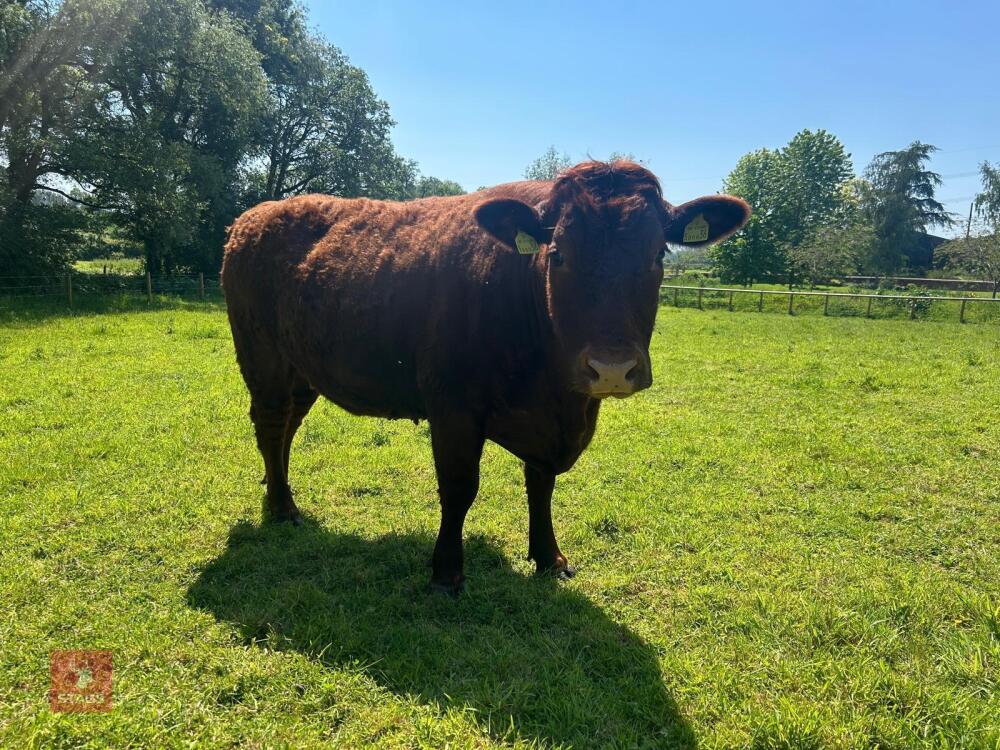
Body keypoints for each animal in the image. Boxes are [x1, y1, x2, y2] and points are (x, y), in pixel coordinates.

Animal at [221, 161, 749, 594]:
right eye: (557, 254)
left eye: (658, 254)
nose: (612, 368)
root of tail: (253, 216)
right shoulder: (453, 407)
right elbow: (459, 488)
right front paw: (446, 572)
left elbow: (541, 485)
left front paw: (550, 558)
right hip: (263, 358)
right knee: (271, 425)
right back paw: (282, 508)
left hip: (302, 371)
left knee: (287, 429)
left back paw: (275, 489)